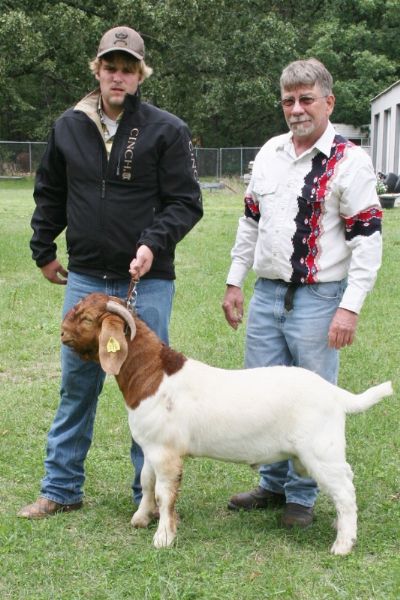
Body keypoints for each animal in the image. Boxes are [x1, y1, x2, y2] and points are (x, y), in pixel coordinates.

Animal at [61, 292, 392, 556]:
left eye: (86, 318)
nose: (62, 332)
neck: (154, 374)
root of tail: (335, 393)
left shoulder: (166, 452)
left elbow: (164, 494)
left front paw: (164, 537)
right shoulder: (151, 446)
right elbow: (146, 482)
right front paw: (141, 519)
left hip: (321, 451)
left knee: (345, 491)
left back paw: (343, 544)